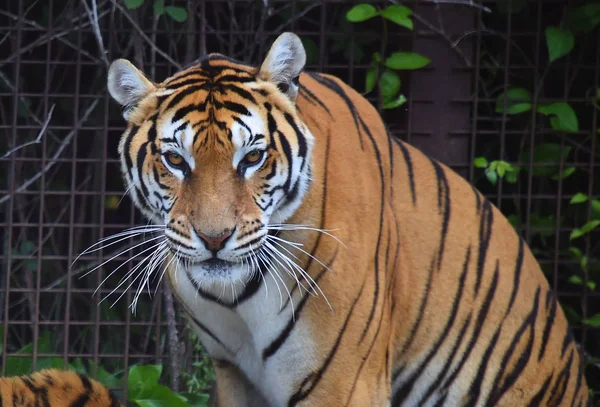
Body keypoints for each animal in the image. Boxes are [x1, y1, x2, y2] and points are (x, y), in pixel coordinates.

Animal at [104, 32, 592, 407]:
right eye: (175, 160)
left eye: (253, 158)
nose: (214, 237)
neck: (236, 298)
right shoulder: (231, 373)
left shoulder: (343, 379)